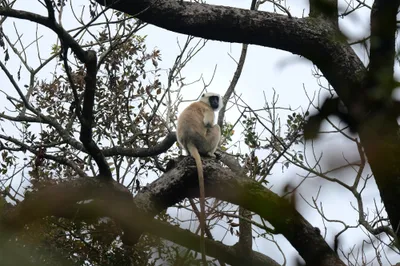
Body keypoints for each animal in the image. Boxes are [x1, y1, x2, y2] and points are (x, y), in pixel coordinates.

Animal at [177, 92, 222, 264]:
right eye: (213, 98)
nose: (216, 102)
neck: (203, 102)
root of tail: (190, 142)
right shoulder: (208, 110)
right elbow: (209, 123)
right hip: (205, 142)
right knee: (216, 128)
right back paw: (211, 153)